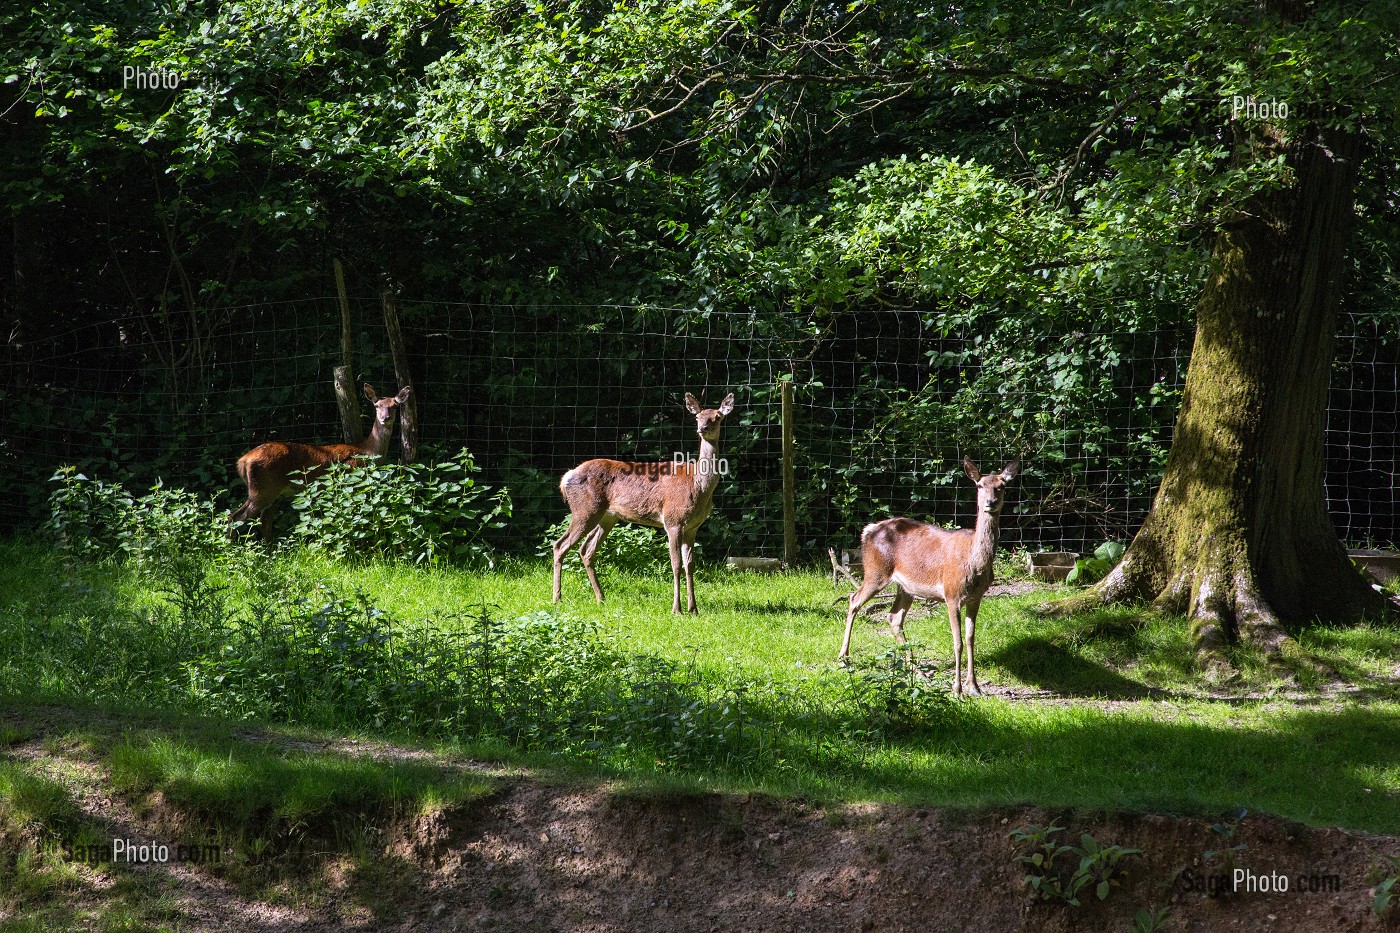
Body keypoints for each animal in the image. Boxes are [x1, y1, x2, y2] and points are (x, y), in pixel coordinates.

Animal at [228, 384, 412, 540]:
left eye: (394, 406)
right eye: (377, 406)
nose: (385, 417)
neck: (366, 451)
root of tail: (242, 461)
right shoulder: (352, 480)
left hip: (272, 491)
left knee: (264, 522)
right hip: (262, 489)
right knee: (235, 517)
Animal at [552, 391, 736, 614]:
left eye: (717, 417)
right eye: (697, 417)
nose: (702, 429)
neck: (697, 486)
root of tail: (566, 478)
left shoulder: (693, 527)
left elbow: (690, 565)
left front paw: (694, 608)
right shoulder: (672, 520)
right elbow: (676, 564)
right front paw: (676, 609)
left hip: (607, 517)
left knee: (586, 550)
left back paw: (600, 598)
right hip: (584, 510)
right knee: (559, 545)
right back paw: (557, 598)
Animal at [838, 457, 1020, 697]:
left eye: (1002, 486)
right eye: (980, 485)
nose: (990, 502)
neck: (974, 564)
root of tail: (867, 530)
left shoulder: (976, 597)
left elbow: (971, 639)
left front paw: (974, 687)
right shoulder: (951, 594)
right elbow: (958, 642)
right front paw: (957, 689)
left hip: (905, 586)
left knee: (893, 617)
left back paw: (919, 672)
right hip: (876, 571)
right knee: (854, 599)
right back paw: (843, 657)